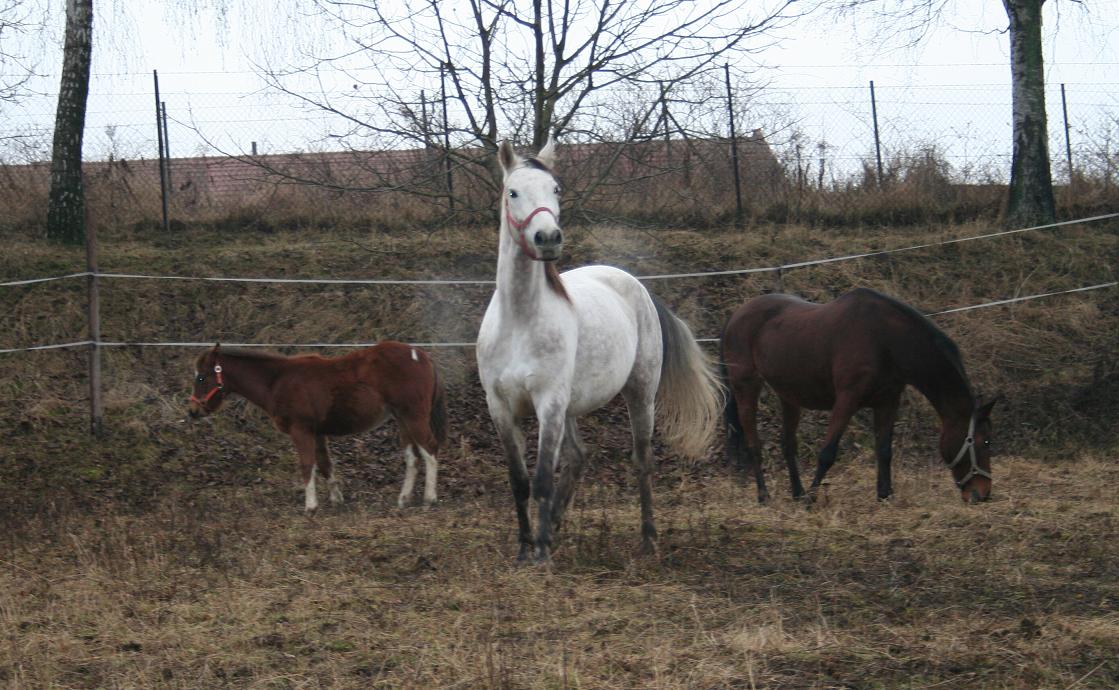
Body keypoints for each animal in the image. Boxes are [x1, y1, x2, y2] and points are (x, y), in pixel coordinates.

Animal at [187, 339, 445, 507]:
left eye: (201, 377)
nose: (192, 411)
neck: (278, 381)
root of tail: (421, 355)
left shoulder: (300, 430)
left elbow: (307, 464)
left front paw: (310, 505)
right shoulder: (317, 432)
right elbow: (324, 464)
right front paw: (336, 500)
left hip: (413, 416)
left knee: (430, 449)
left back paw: (430, 498)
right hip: (402, 418)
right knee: (412, 456)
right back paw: (403, 499)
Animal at [474, 136, 720, 561]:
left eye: (556, 189)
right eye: (513, 192)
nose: (548, 238)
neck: (519, 320)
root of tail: (637, 286)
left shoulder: (548, 404)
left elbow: (541, 479)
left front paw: (541, 553)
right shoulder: (500, 407)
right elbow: (519, 480)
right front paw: (525, 548)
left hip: (639, 393)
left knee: (642, 460)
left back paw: (648, 537)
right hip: (572, 407)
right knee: (577, 458)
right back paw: (556, 524)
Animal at [725, 288, 998, 503]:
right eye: (985, 442)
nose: (983, 494)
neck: (886, 340)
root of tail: (735, 316)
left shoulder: (888, 402)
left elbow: (884, 450)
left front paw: (885, 495)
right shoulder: (847, 400)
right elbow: (827, 453)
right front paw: (813, 498)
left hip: (789, 396)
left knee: (788, 444)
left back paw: (797, 493)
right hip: (746, 387)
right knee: (753, 443)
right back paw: (764, 495)